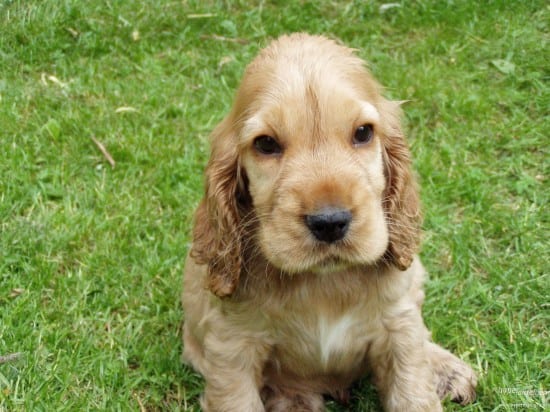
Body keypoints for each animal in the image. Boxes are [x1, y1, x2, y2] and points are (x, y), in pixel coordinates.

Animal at [182, 33, 478, 412]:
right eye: (266, 143)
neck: (325, 283)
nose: (329, 222)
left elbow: (413, 387)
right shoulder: (231, 347)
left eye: (363, 133)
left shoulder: (399, 328)